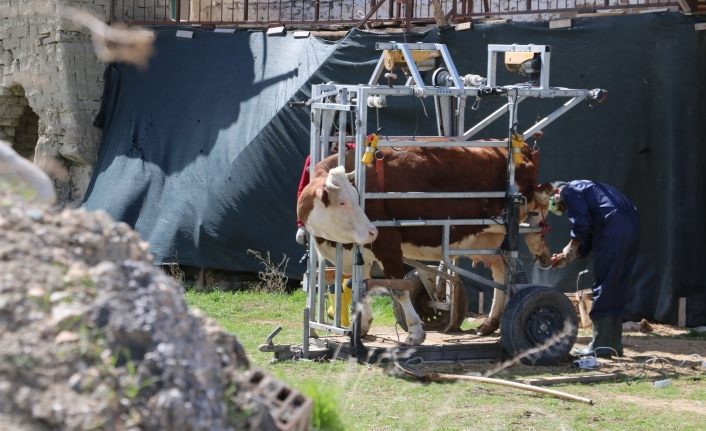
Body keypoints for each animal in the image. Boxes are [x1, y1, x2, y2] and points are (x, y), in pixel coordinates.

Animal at [294, 143, 552, 346]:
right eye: (343, 201)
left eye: (359, 199)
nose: (371, 231)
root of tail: (523, 149)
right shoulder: (360, 251)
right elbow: (359, 285)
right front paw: (362, 326)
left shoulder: (388, 242)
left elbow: (398, 288)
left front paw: (416, 333)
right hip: (487, 237)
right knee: (500, 268)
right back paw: (490, 323)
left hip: (515, 222)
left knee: (529, 238)